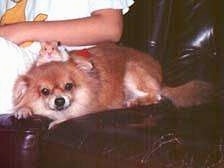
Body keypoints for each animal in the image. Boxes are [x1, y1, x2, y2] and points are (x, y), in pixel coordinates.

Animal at [12, 42, 214, 128]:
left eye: (69, 86)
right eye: (45, 91)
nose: (59, 101)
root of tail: (161, 79)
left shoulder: (86, 108)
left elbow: (68, 116)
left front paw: (56, 122)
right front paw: (23, 110)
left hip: (132, 71)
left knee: (156, 96)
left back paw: (132, 102)